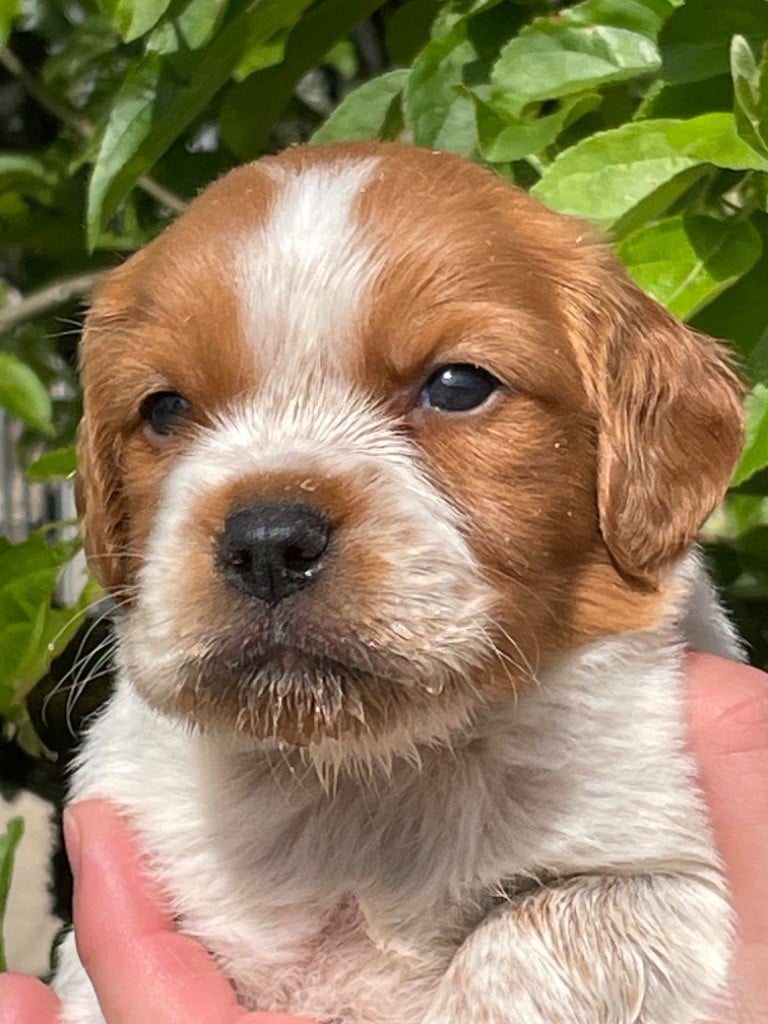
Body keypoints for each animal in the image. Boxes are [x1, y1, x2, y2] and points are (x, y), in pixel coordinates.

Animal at [54, 142, 745, 1023]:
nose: (268, 541)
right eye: (164, 409)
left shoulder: (678, 876)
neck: (362, 785)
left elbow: (540, 929)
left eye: (458, 385)